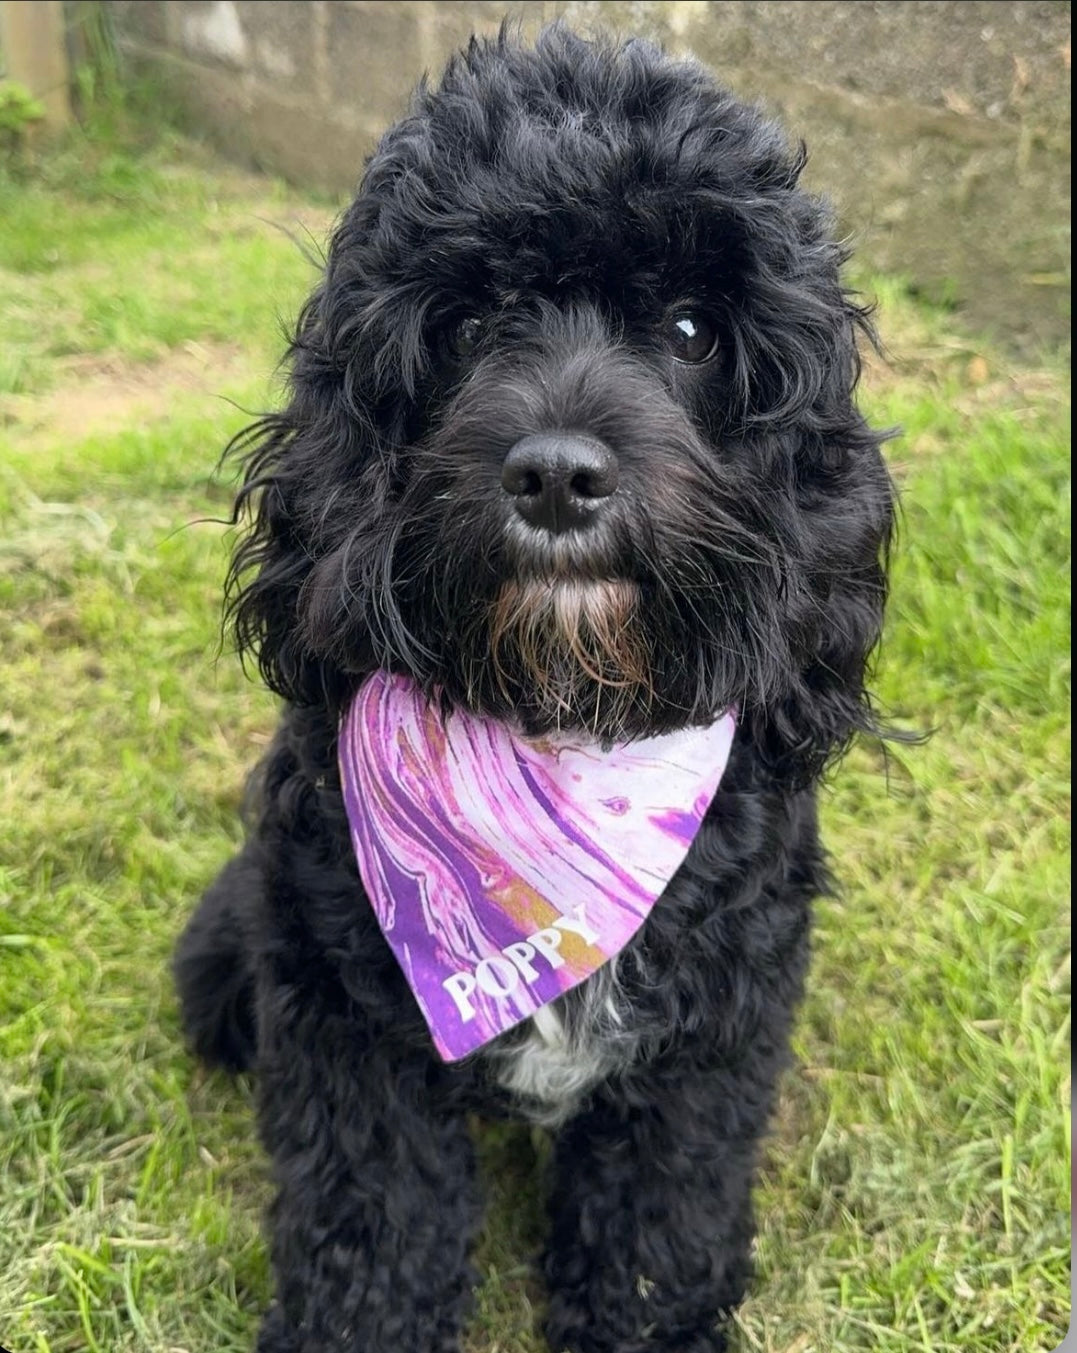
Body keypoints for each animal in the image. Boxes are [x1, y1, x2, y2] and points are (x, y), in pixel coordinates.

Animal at [177, 23, 898, 1353]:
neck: (562, 721)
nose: (559, 477)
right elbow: (373, 1221)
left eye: (690, 328)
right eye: (466, 326)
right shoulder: (341, 1018)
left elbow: (660, 1218)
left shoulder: (711, 1036)